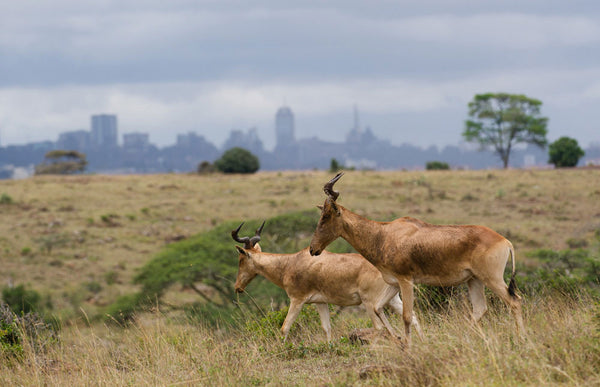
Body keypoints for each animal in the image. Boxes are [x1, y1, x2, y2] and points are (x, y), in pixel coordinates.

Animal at [231, 221, 422, 342]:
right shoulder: (320, 302)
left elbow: (285, 328)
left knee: (379, 327)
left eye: (241, 259)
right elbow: (327, 328)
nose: (237, 287)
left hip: (370, 302)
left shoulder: (297, 300)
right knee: (412, 316)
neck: (290, 262)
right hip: (393, 299)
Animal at [310, 173, 524, 346]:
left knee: (514, 302)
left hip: (492, 278)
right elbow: (379, 308)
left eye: (326, 216)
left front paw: (409, 346)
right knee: (480, 309)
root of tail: (505, 241)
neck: (384, 234)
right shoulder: (394, 283)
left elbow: (406, 316)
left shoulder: (407, 280)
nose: (313, 249)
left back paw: (520, 340)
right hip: (474, 280)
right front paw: (399, 341)